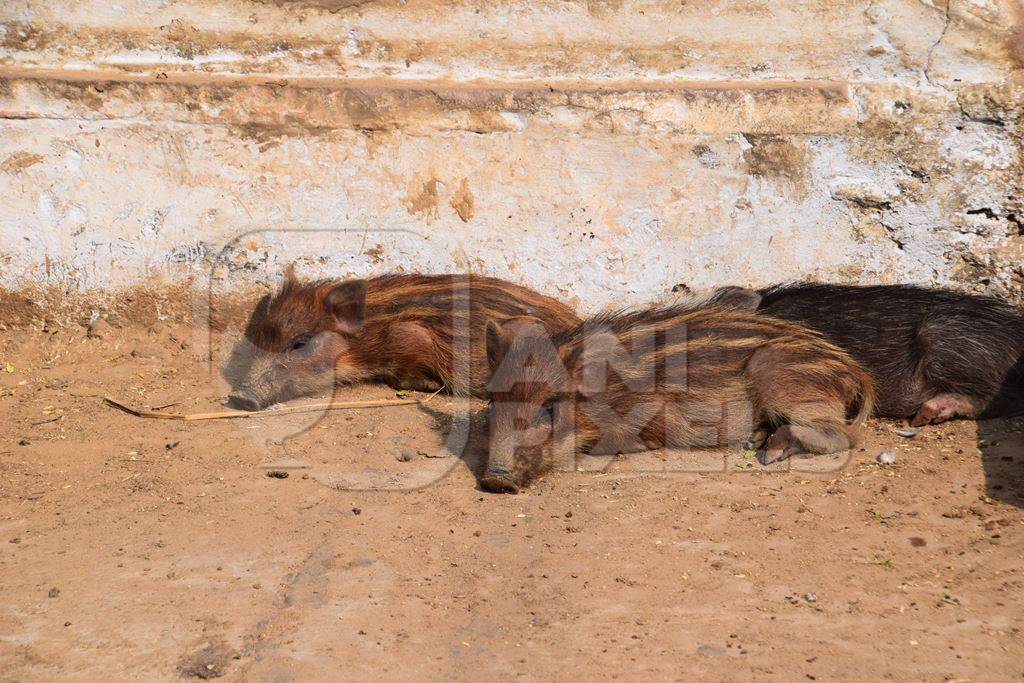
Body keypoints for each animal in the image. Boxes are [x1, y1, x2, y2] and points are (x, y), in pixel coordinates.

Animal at [481, 305, 872, 491]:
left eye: (550, 407)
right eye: (492, 403)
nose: (495, 480)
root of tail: (853, 370)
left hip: (777, 373)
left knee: (845, 435)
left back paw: (770, 453)